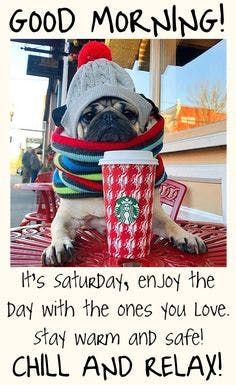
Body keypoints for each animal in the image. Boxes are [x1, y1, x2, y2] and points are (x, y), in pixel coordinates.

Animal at [42, 94, 206, 266]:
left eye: (128, 113)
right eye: (88, 115)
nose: (109, 116)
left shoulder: (155, 214)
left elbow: (170, 223)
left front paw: (186, 236)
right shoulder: (67, 216)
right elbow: (57, 227)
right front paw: (57, 245)